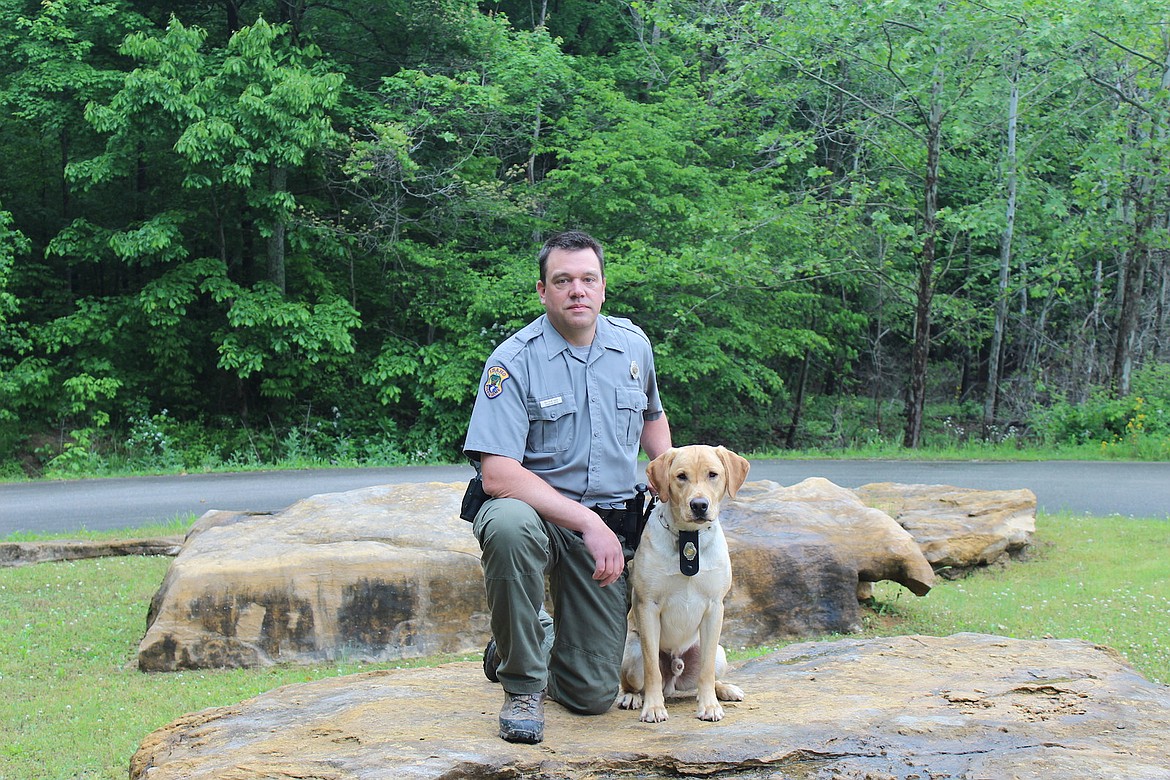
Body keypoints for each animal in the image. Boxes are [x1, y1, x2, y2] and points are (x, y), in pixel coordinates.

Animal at [622, 442, 748, 725]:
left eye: (713, 474)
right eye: (681, 476)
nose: (699, 505)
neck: (688, 539)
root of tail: (674, 673)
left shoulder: (714, 608)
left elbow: (706, 671)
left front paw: (709, 706)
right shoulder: (648, 607)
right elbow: (651, 670)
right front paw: (653, 707)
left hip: (719, 652)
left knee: (709, 673)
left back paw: (725, 689)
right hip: (631, 653)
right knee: (635, 681)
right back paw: (632, 697)